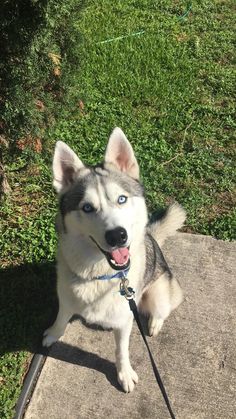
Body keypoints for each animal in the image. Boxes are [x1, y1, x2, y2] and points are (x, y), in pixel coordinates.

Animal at [43, 127, 185, 394]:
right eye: (87, 207)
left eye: (121, 199)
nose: (118, 235)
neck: (99, 274)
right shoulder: (65, 298)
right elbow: (60, 318)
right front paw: (53, 334)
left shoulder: (124, 321)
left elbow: (121, 350)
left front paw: (124, 373)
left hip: (159, 293)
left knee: (163, 309)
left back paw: (155, 323)